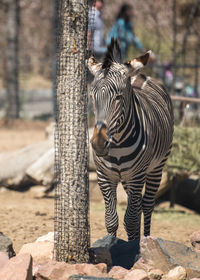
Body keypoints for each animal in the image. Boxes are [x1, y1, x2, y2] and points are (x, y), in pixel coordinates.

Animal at [88, 40, 173, 241]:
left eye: (118, 97)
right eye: (92, 97)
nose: (98, 144)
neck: (118, 143)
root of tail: (140, 76)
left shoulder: (137, 175)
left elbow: (131, 220)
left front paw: (134, 245)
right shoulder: (104, 176)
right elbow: (111, 219)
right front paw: (111, 243)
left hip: (156, 167)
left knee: (147, 205)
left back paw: (147, 238)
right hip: (127, 178)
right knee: (139, 205)